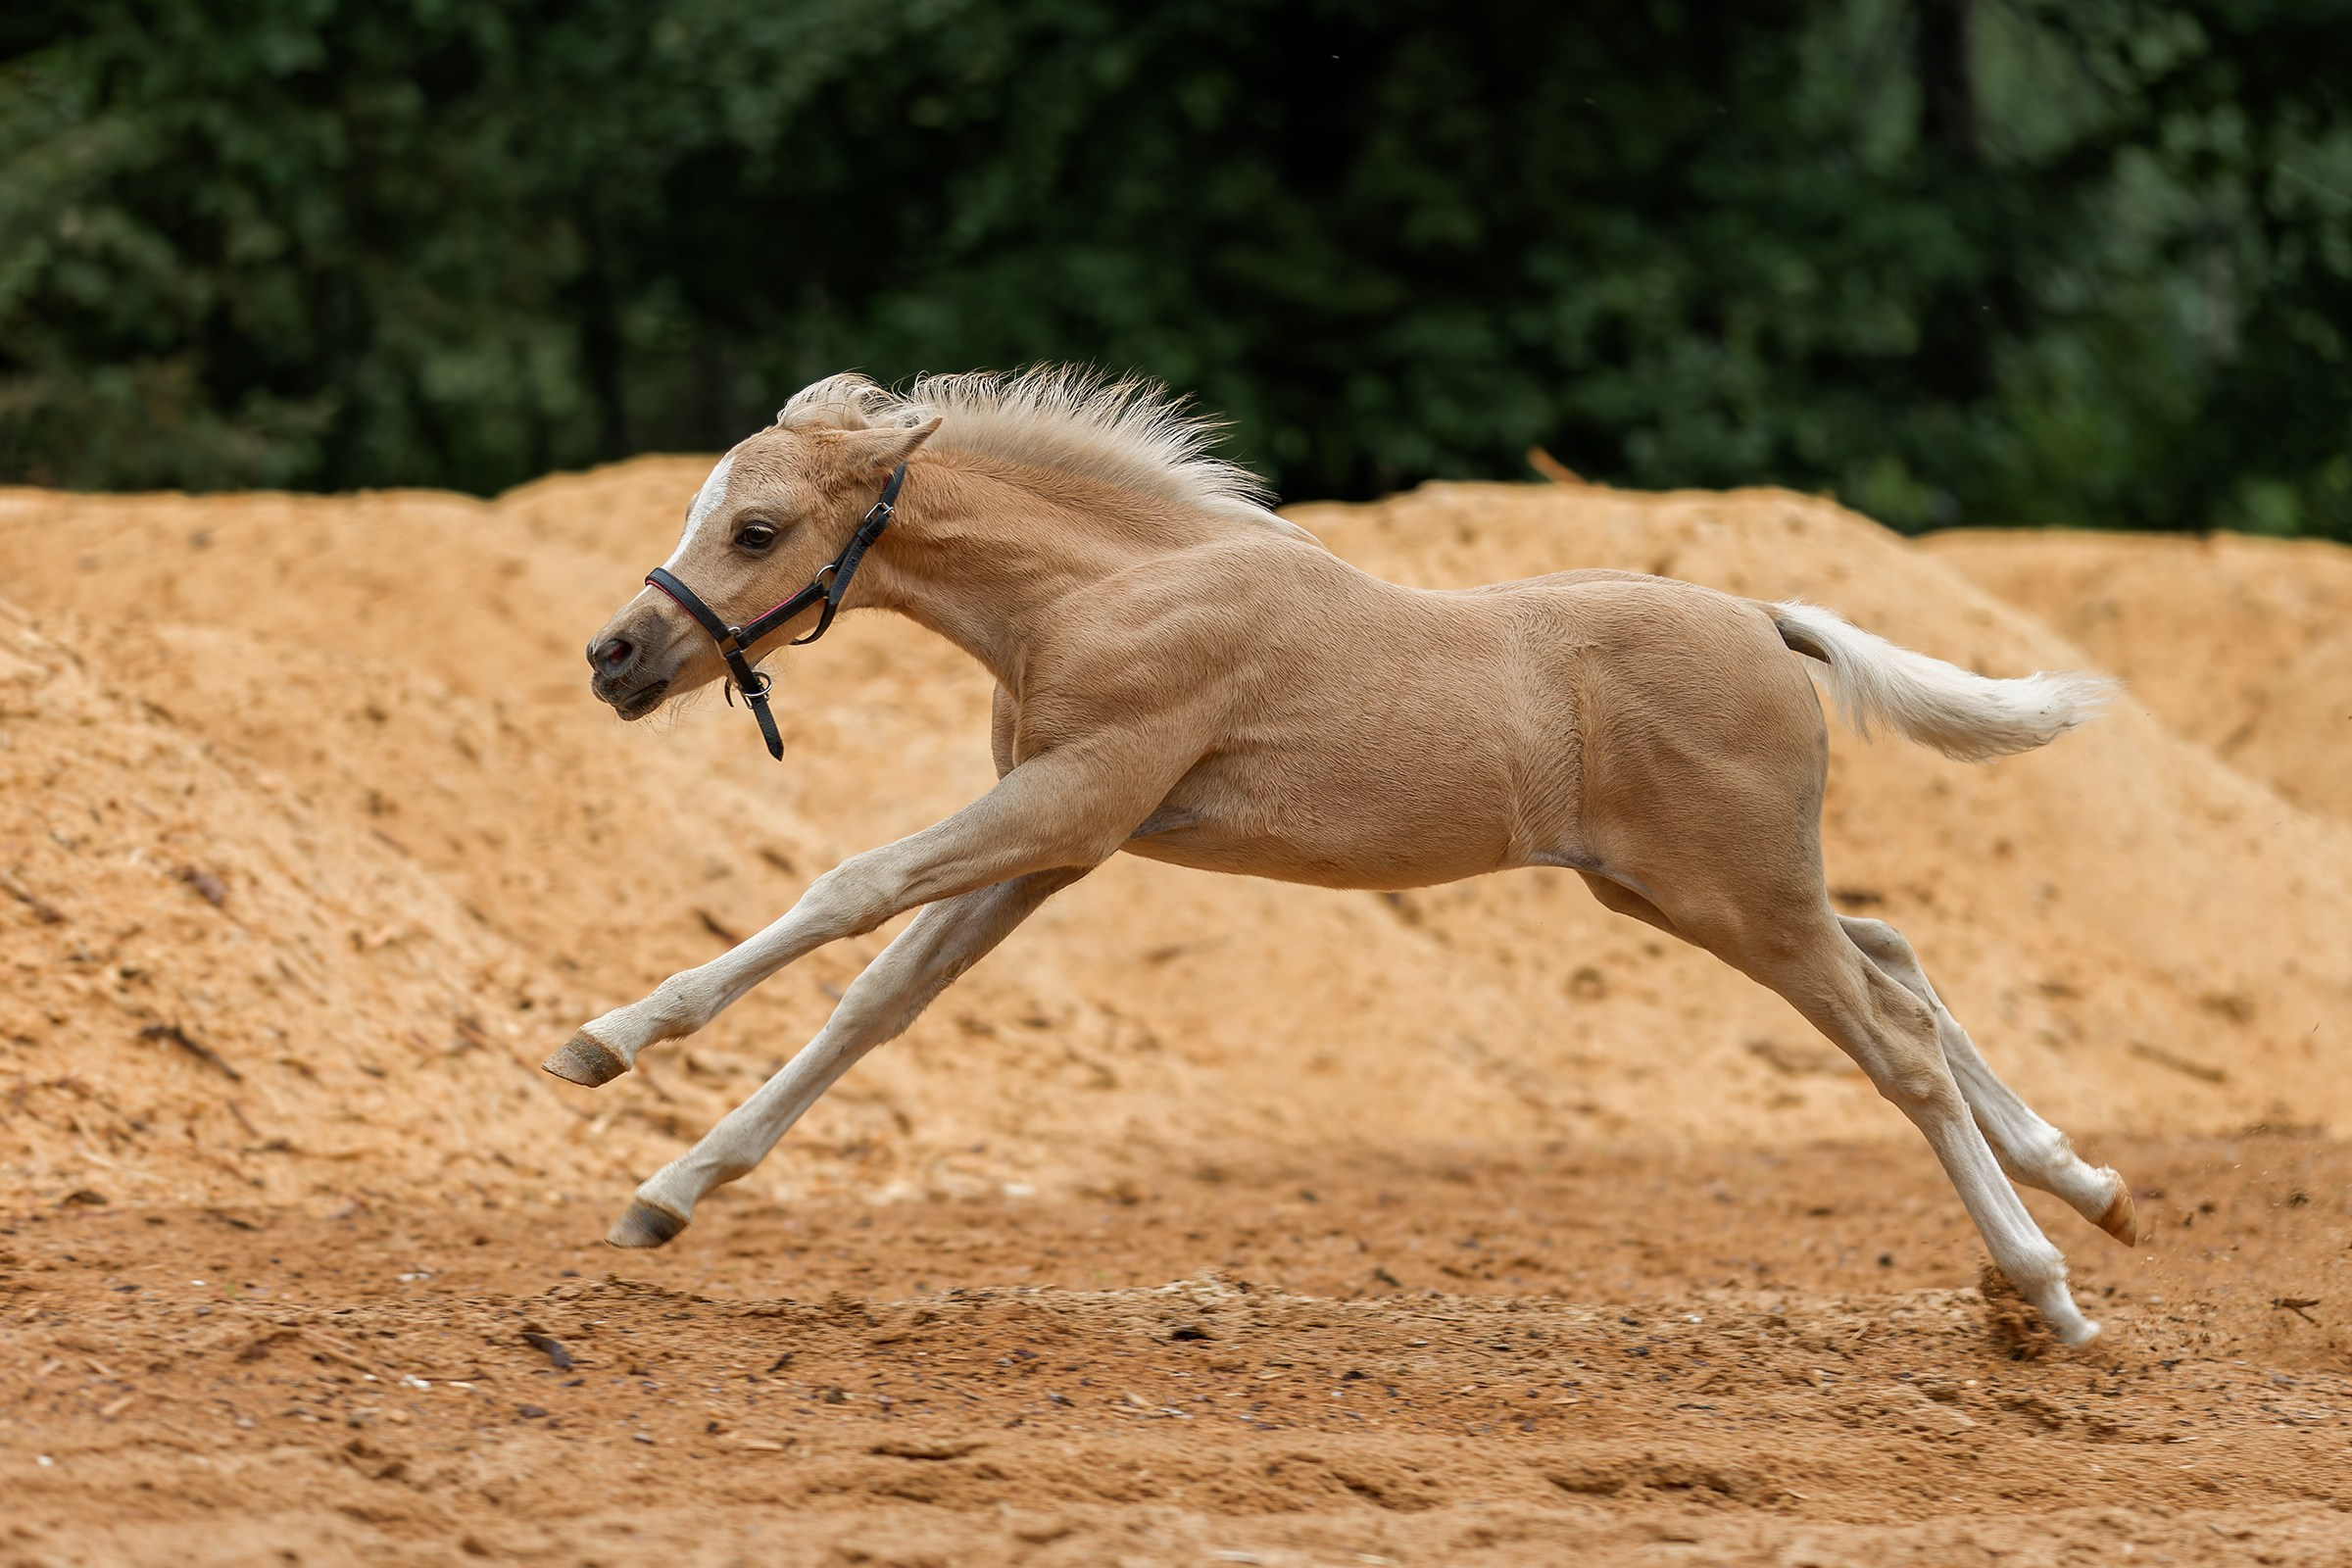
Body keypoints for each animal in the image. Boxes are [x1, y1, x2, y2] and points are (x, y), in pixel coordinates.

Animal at [555, 367, 2131, 1346]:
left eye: (758, 527)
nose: (614, 658)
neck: (1108, 586)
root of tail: (1768, 620)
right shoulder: (1063, 840)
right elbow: (879, 1001)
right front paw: (667, 1195)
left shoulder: (1071, 801)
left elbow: (849, 890)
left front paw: (604, 1042)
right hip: (1696, 892)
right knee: (1902, 964)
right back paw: (2090, 1184)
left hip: (1737, 898)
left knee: (1899, 1042)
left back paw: (2050, 1294)